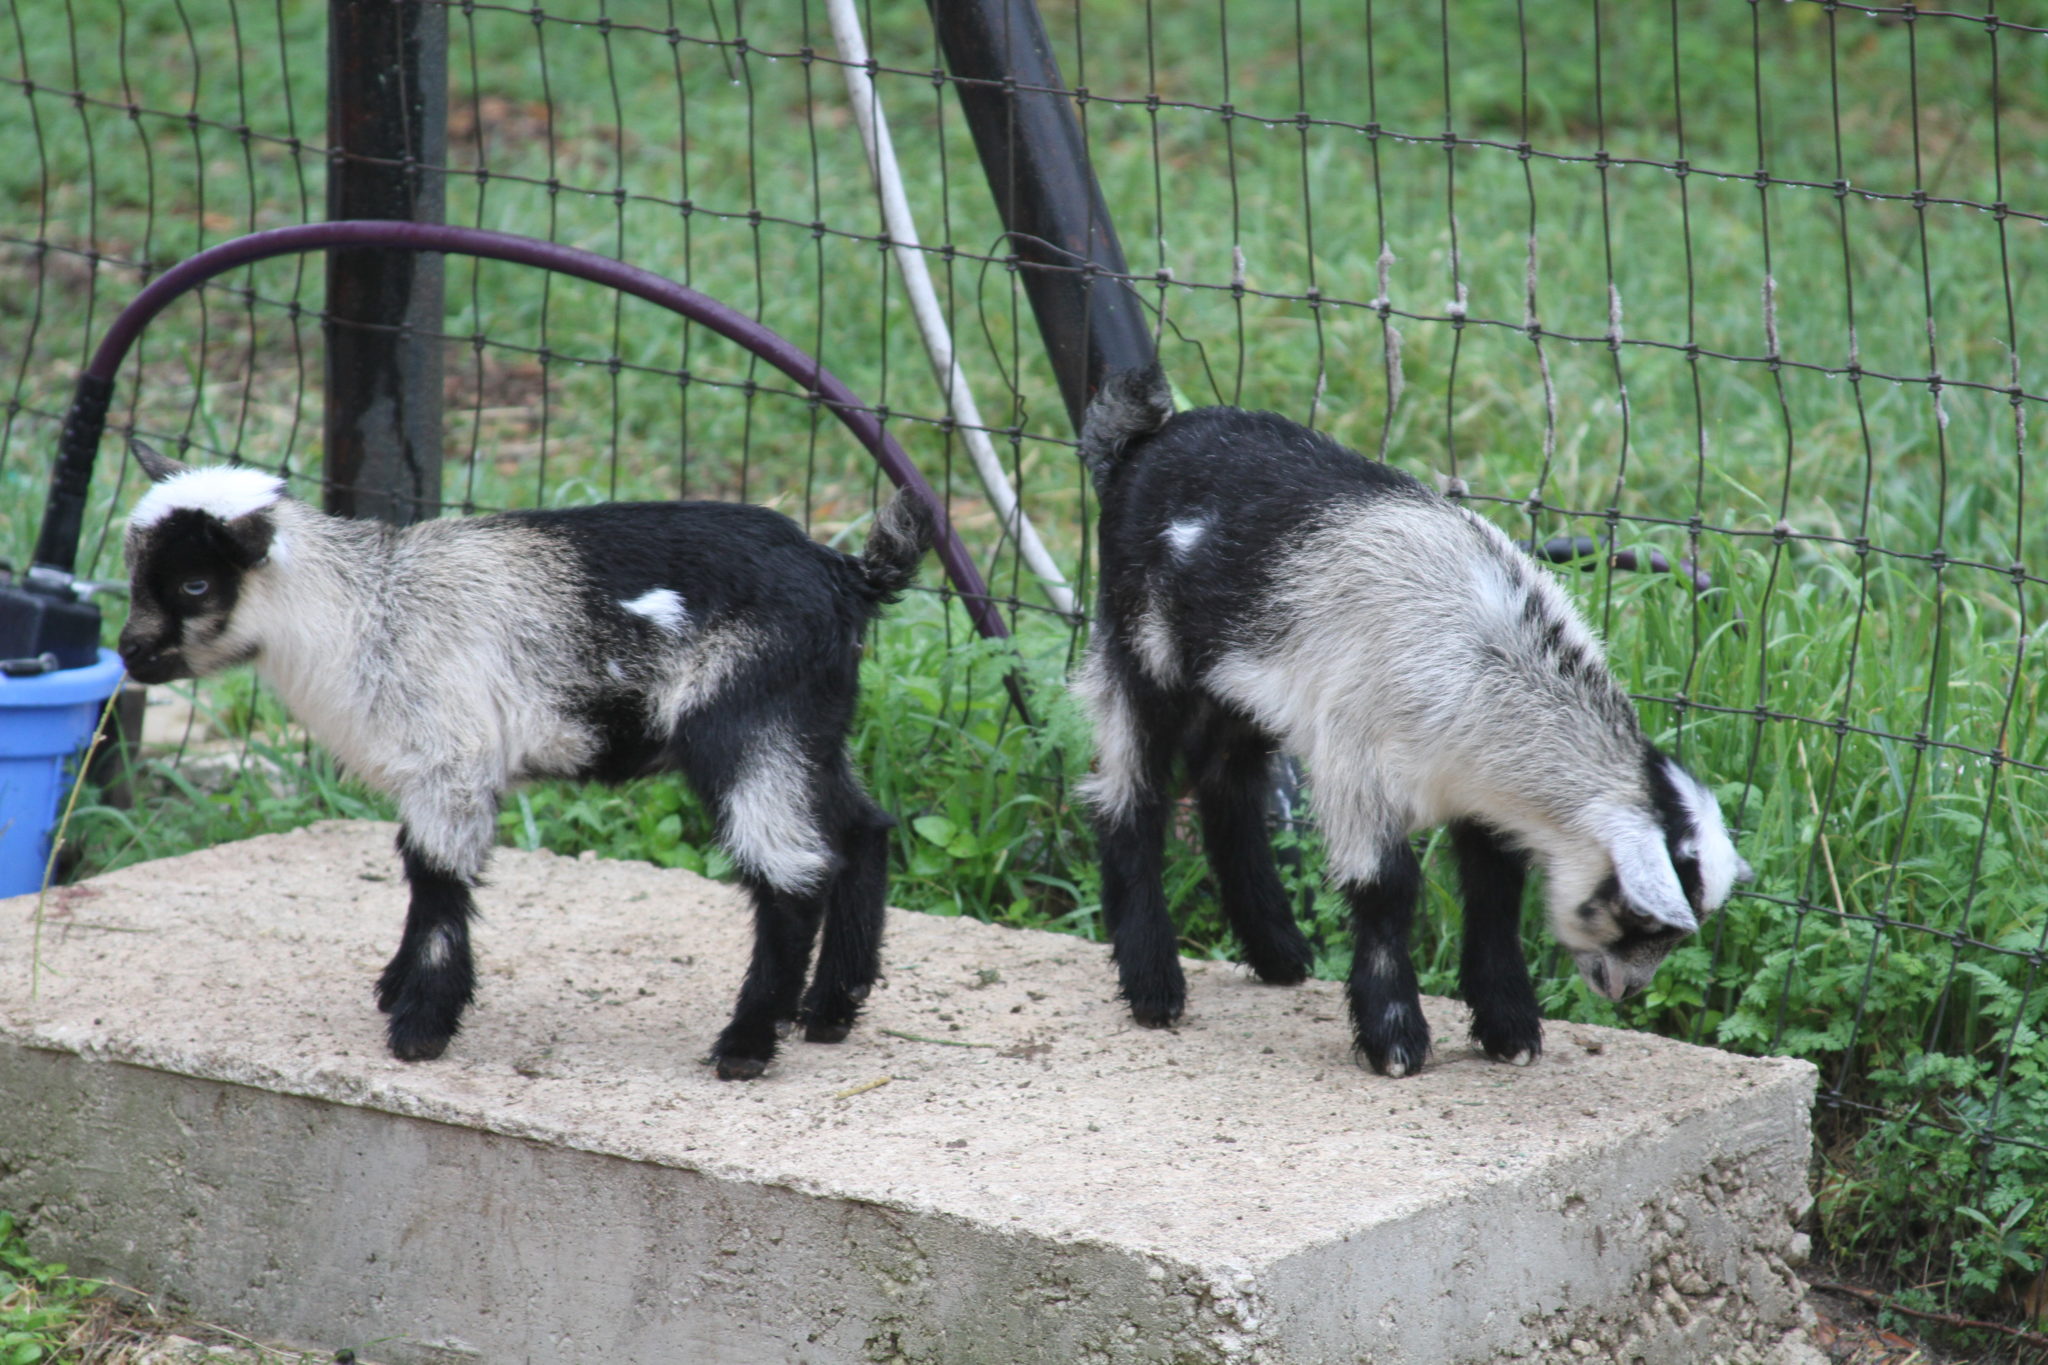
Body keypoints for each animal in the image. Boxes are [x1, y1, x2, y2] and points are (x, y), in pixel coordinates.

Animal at [117, 441, 933, 1080]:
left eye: (195, 583)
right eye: (134, 573)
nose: (129, 652)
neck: (363, 611)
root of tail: (846, 574)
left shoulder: (452, 757)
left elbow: (438, 878)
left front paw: (420, 1028)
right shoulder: (430, 769)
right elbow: (415, 865)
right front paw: (396, 987)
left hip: (747, 721)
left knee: (789, 872)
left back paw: (747, 1045)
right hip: (811, 727)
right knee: (863, 829)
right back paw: (831, 1009)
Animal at [1073, 364, 1751, 1077]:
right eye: (1640, 919)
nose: (1625, 990)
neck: (1491, 666)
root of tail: (1145, 441)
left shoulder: (1482, 792)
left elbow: (1495, 893)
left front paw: (1509, 1028)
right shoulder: (1356, 764)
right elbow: (1386, 890)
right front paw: (1394, 1039)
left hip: (1242, 683)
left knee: (1226, 784)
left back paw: (1278, 951)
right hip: (1138, 649)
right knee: (1129, 798)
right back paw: (1154, 988)